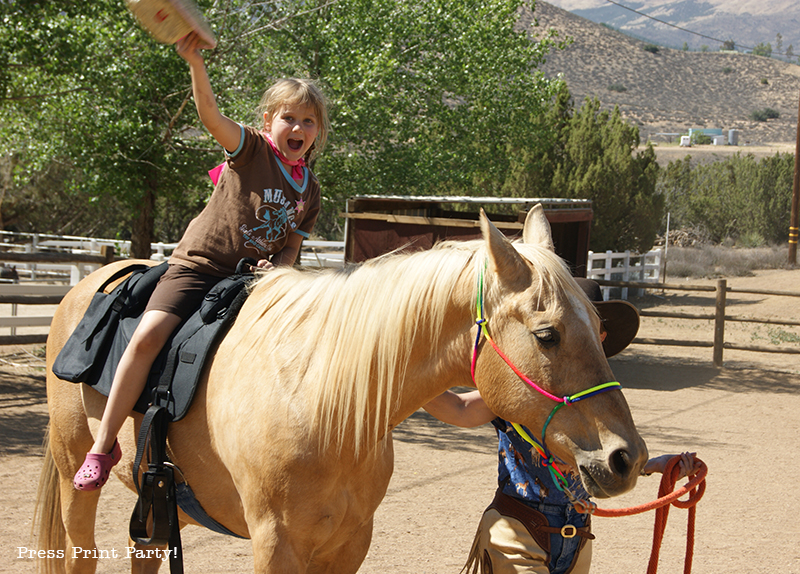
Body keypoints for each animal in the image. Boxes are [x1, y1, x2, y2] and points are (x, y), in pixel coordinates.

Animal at [36, 208, 648, 574]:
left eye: (599, 328)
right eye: (547, 335)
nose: (628, 458)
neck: (318, 398)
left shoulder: (349, 544)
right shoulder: (275, 546)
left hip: (161, 502)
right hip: (74, 476)